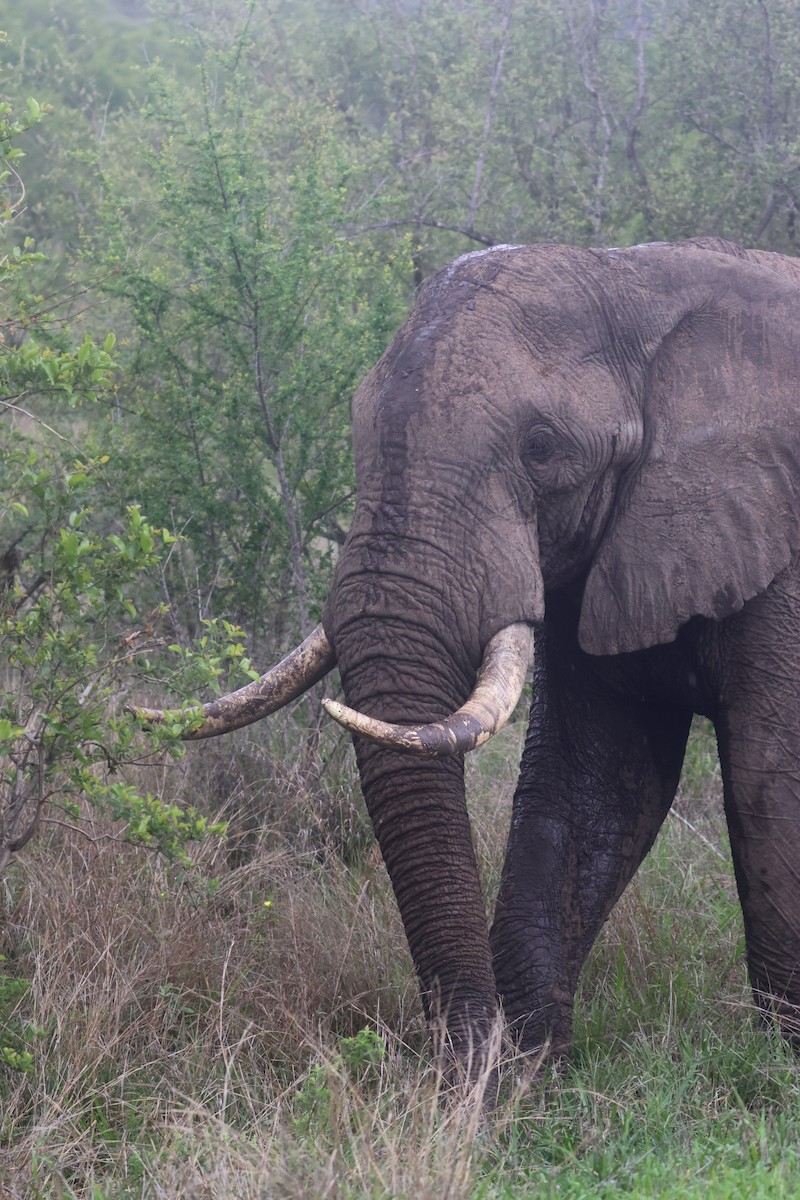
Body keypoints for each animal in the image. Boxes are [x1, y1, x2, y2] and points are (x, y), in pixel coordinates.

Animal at [132, 236, 800, 1073]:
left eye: (541, 449)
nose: (469, 1059)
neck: (640, 281)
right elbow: (597, 786)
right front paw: (530, 1075)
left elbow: (771, 780)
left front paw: (779, 1070)